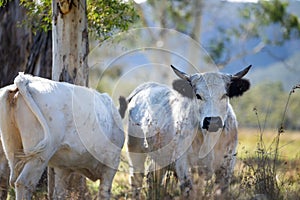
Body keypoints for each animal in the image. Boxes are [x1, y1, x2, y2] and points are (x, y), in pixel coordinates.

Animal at [120, 65, 252, 198]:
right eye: (198, 95)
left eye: (225, 95)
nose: (213, 121)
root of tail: (148, 86)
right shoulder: (184, 167)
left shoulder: (226, 167)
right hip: (134, 148)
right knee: (136, 178)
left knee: (153, 177)